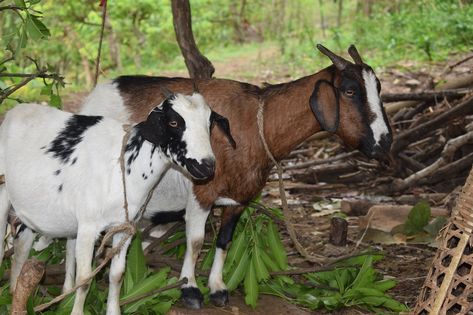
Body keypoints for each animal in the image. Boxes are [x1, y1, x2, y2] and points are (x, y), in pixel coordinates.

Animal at [0, 90, 234, 314]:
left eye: (209, 123)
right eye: (174, 122)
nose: (207, 166)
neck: (125, 165)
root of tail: (15, 111)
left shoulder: (124, 228)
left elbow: (117, 275)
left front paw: (113, 310)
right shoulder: (88, 227)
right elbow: (85, 279)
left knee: (22, 249)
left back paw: (19, 293)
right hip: (3, 195)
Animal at [81, 45, 390, 310]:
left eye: (378, 88)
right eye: (349, 91)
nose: (384, 142)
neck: (256, 125)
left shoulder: (240, 198)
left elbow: (224, 240)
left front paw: (217, 287)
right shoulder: (202, 192)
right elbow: (196, 241)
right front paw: (190, 290)